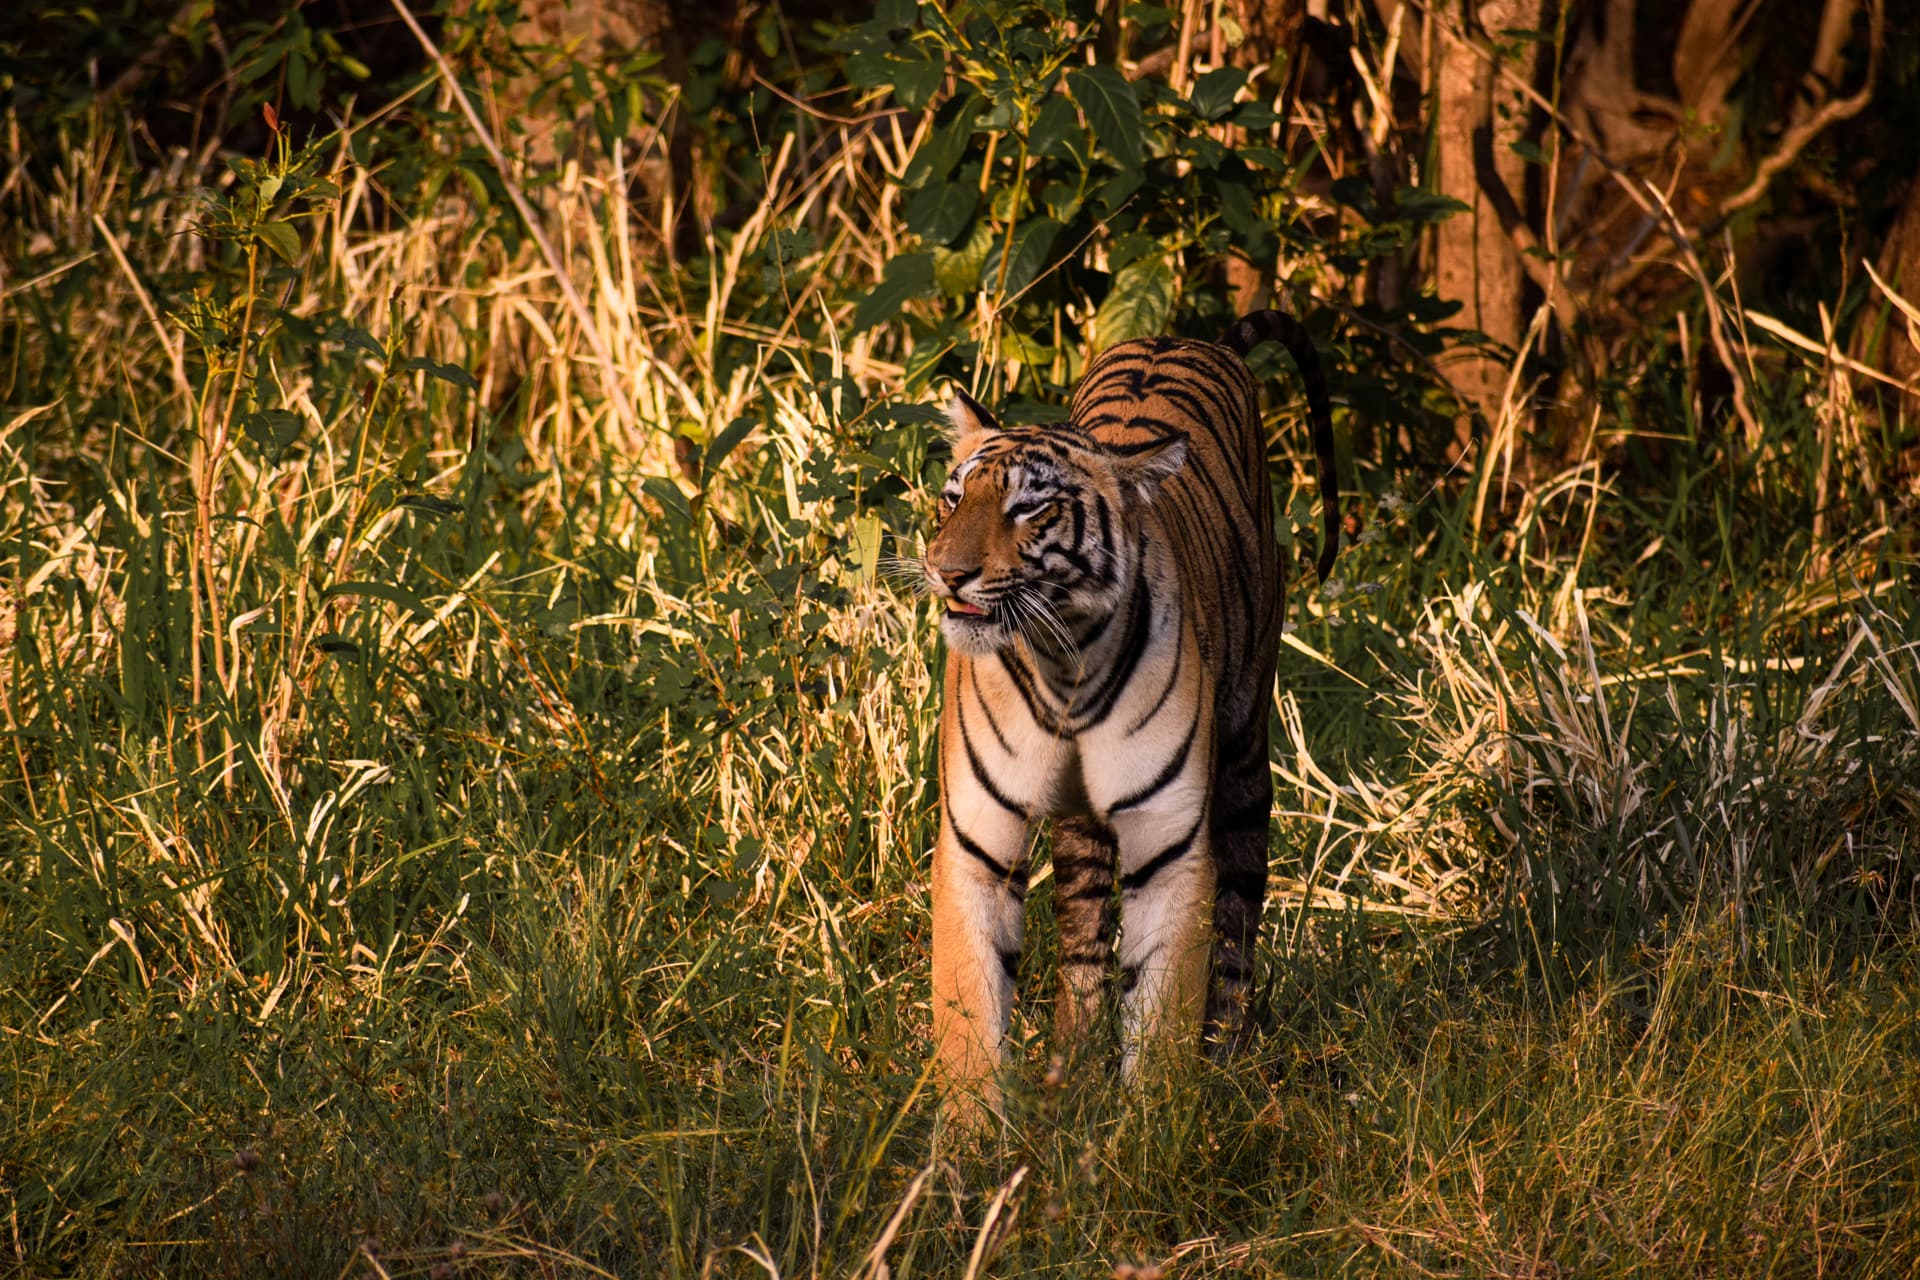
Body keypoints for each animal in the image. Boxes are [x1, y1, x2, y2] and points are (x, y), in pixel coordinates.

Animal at [922, 309, 1338, 1122]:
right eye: (953, 499)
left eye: (1029, 508)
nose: (946, 573)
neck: (1065, 664)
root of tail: (1192, 337)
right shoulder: (976, 843)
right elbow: (970, 1014)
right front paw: (968, 1140)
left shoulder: (1170, 846)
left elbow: (1163, 1012)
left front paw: (1152, 1134)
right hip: (1082, 829)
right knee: (1084, 935)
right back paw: (1071, 1066)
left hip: (1246, 755)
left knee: (1238, 922)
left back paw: (1228, 1061)